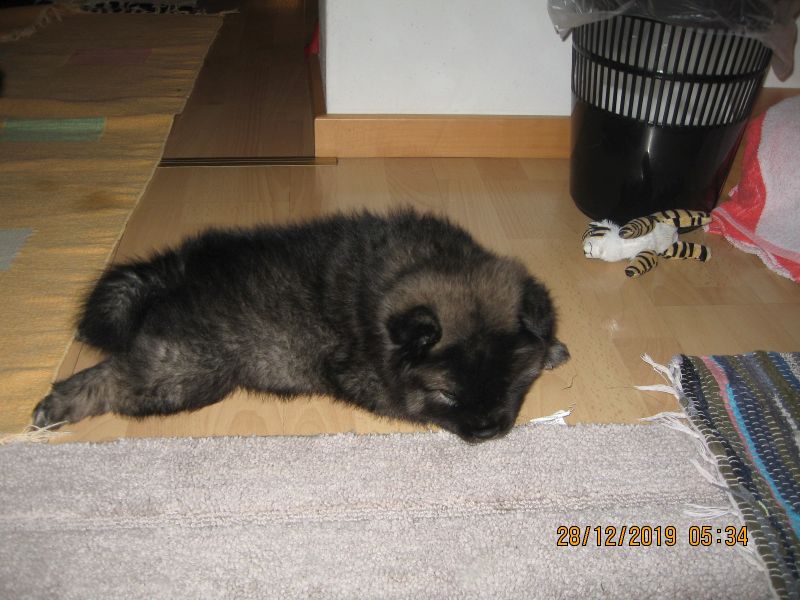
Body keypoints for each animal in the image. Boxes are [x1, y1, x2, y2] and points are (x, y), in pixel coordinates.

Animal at [33, 210, 569, 443]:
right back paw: (56, 406)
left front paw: (552, 346)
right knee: (114, 376)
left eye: (509, 386)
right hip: (188, 371)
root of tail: (180, 271)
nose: (489, 431)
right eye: (448, 396)